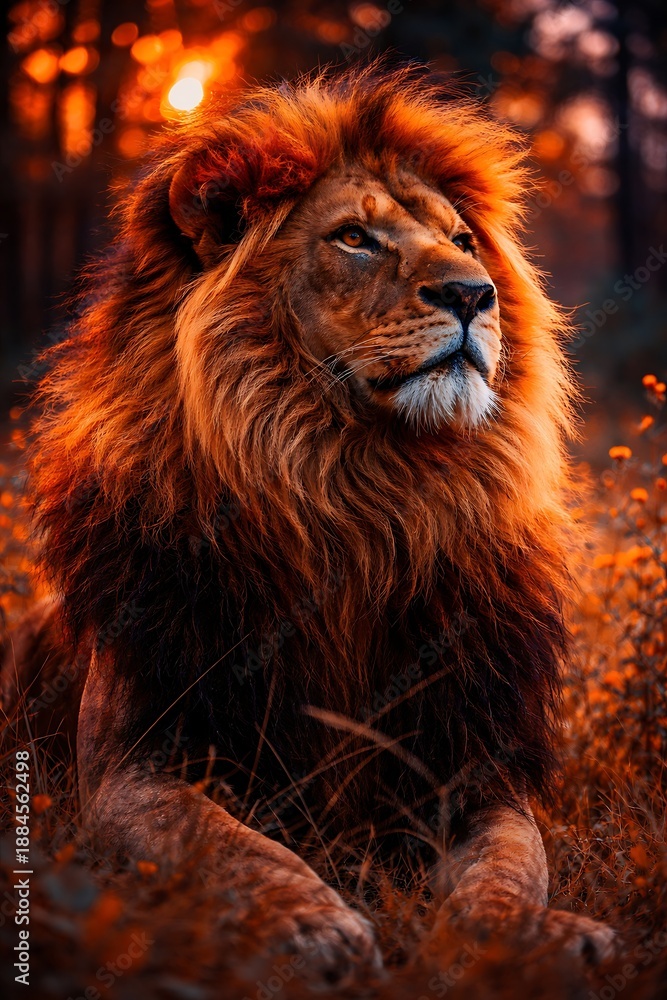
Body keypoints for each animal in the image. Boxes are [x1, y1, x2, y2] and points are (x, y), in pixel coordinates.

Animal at [17, 65, 615, 983]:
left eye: (464, 241)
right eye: (354, 239)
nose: (472, 294)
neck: (359, 492)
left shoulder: (473, 773)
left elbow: (505, 873)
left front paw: (538, 939)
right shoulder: (130, 767)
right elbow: (233, 845)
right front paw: (312, 923)